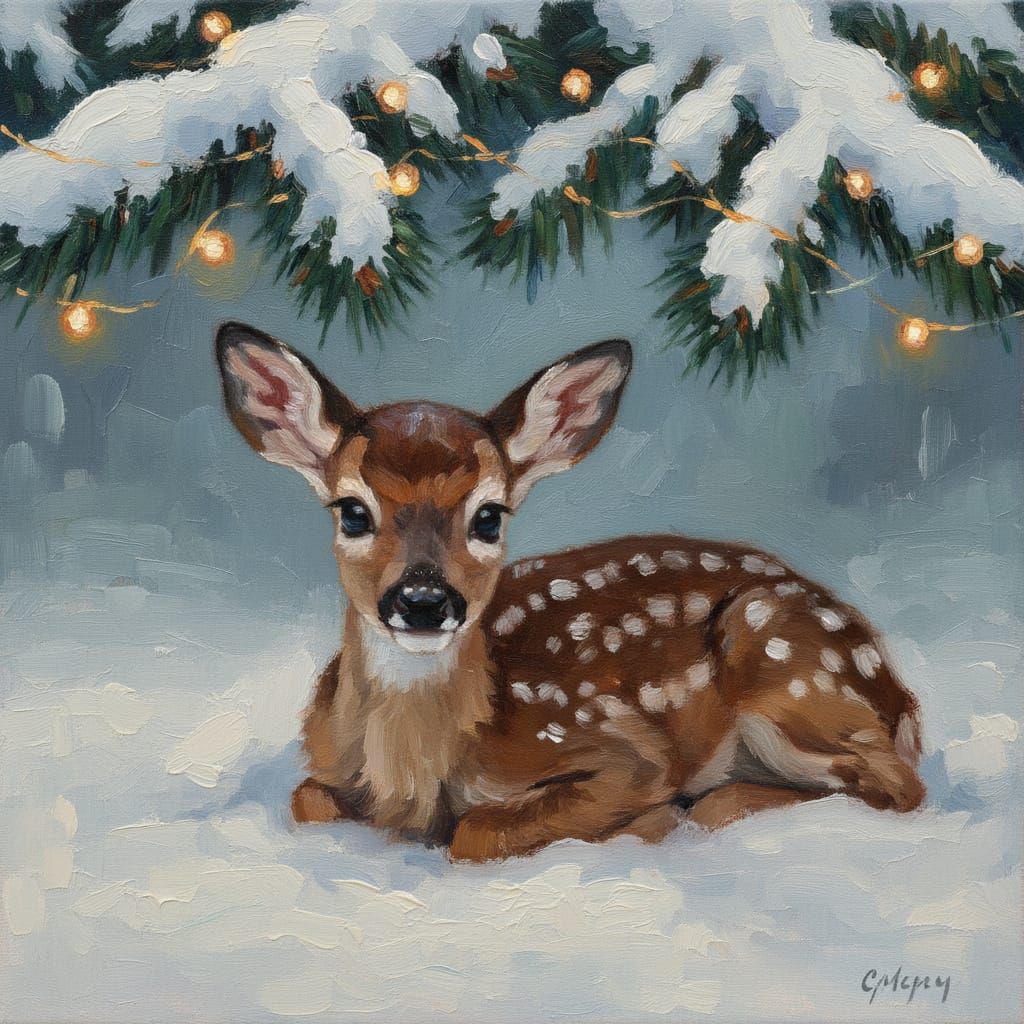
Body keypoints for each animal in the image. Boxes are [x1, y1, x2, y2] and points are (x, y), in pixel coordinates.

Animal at [215, 321, 925, 862]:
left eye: (489, 516)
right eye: (352, 512)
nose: (423, 601)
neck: (413, 774)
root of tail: (901, 696)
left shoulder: (621, 749)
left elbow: (476, 831)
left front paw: (651, 819)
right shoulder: (322, 764)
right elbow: (306, 798)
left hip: (777, 657)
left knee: (898, 788)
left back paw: (711, 803)